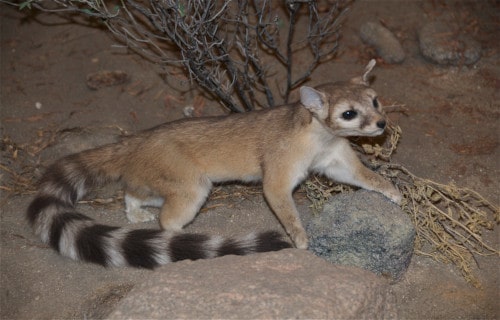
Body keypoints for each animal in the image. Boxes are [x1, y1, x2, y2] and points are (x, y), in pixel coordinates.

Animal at [28, 59, 402, 268]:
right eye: (349, 114)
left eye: (375, 101)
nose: (381, 124)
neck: (319, 136)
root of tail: (135, 139)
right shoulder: (279, 173)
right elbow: (283, 205)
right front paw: (300, 239)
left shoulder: (335, 160)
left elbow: (363, 176)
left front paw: (392, 190)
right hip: (191, 187)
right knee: (167, 219)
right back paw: (181, 241)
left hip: (161, 184)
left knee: (132, 191)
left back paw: (136, 213)